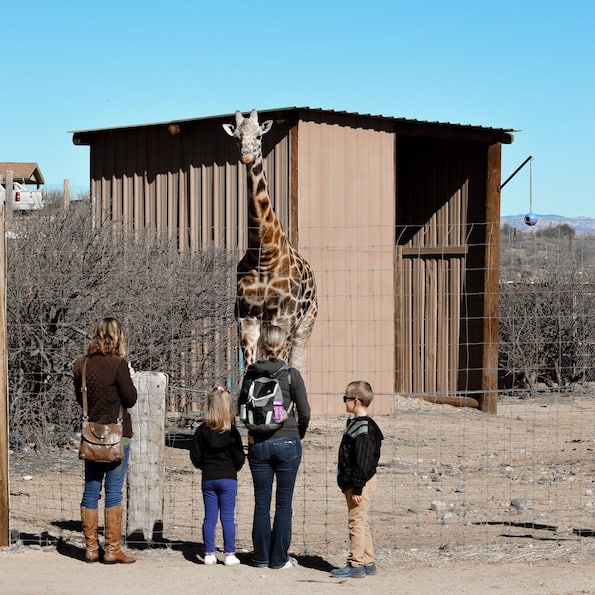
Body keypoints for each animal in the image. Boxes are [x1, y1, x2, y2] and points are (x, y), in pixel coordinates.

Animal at [222, 107, 316, 368]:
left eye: (259, 136)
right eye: (237, 138)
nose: (246, 157)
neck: (264, 253)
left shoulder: (285, 318)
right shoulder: (247, 318)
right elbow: (248, 369)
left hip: (305, 325)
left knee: (299, 363)